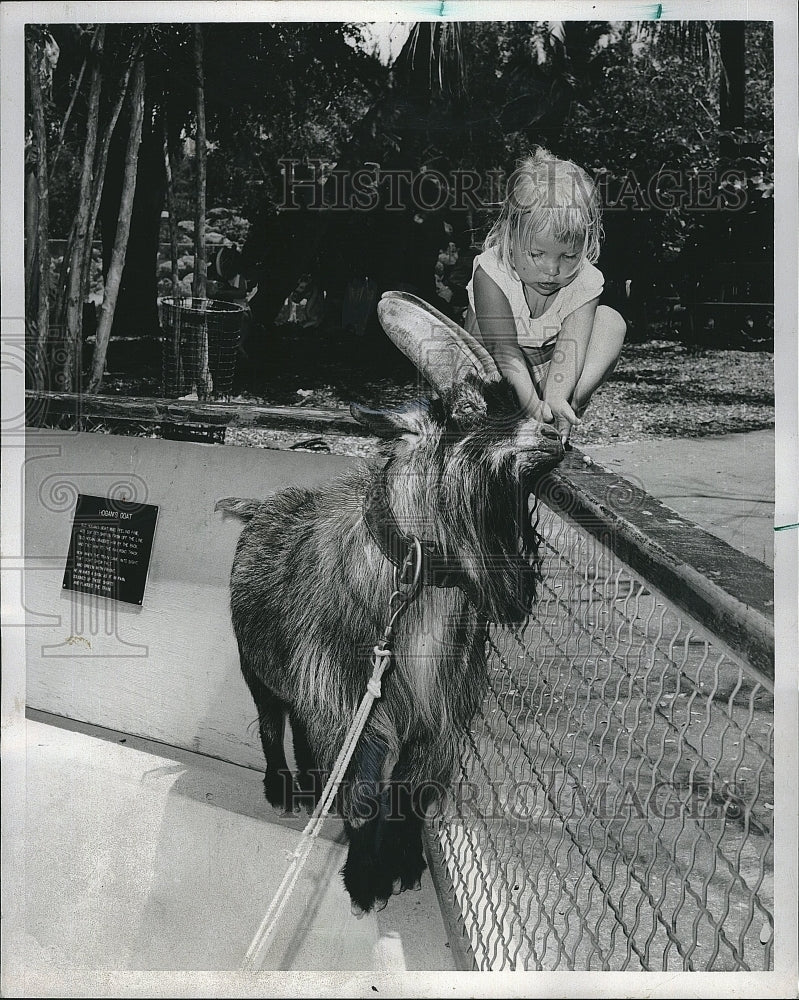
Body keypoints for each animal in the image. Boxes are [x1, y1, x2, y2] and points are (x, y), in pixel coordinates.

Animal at [217, 292, 564, 916]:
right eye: (468, 410)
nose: (555, 436)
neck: (415, 590)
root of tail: (256, 507)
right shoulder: (351, 702)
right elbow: (364, 796)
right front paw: (365, 880)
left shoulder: (434, 714)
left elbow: (411, 790)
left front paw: (403, 865)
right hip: (256, 664)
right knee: (271, 719)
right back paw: (283, 788)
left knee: (301, 728)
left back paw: (313, 786)